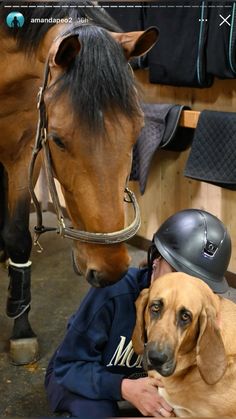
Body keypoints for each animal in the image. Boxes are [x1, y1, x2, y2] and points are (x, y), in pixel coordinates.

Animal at [0, 0, 159, 364]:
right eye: (58, 140)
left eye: (137, 130)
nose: (112, 268)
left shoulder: (23, 149)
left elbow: (17, 235)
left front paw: (21, 329)